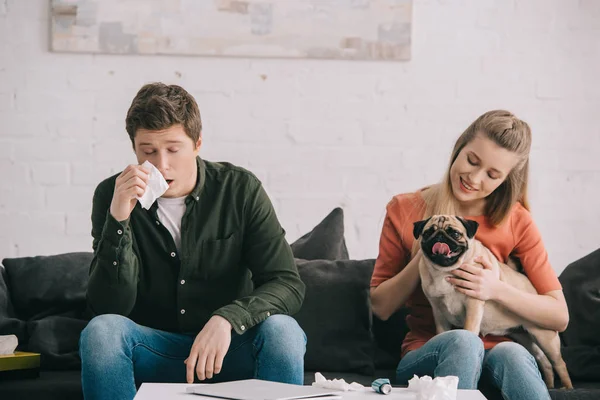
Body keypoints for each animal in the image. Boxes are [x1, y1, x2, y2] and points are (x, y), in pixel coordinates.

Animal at [412, 217, 572, 390]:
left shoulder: (473, 304)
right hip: (524, 337)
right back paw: (549, 385)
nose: (439, 236)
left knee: (559, 363)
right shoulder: (438, 311)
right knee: (544, 361)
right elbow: (442, 332)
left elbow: (469, 328)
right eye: (428, 233)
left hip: (545, 338)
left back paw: (567, 387)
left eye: (454, 233)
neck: (445, 272)